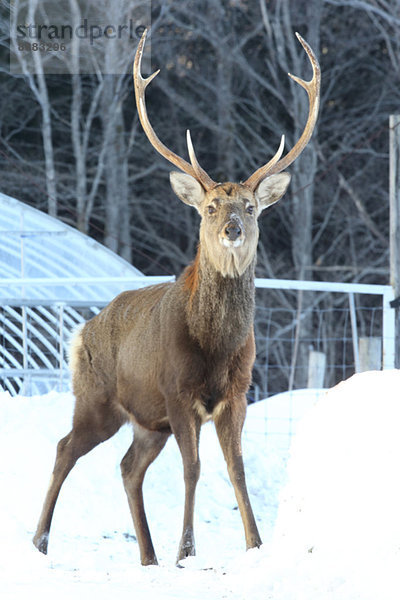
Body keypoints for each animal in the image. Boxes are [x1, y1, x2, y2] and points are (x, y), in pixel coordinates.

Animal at [31, 29, 320, 568]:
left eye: (250, 207)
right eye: (210, 207)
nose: (232, 229)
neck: (215, 346)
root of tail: (81, 332)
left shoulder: (235, 394)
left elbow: (236, 469)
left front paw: (254, 544)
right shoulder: (177, 390)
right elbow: (194, 468)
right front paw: (187, 550)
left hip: (148, 423)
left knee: (127, 466)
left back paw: (148, 556)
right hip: (98, 398)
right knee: (64, 448)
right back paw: (39, 542)